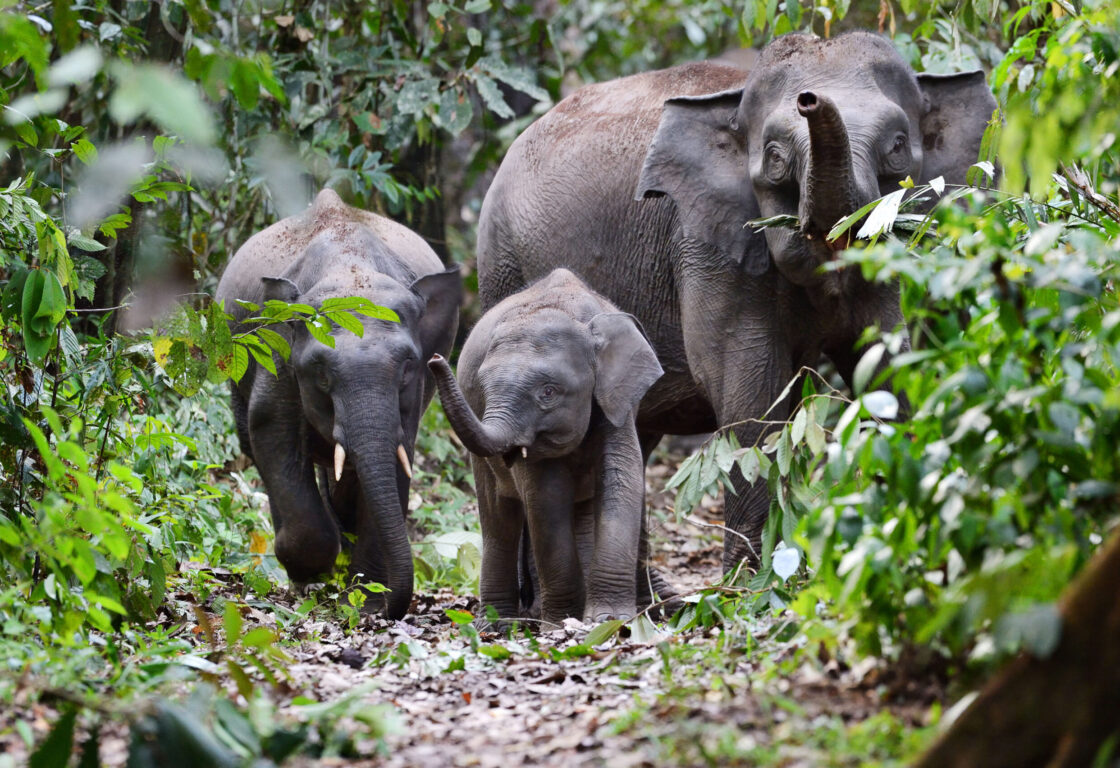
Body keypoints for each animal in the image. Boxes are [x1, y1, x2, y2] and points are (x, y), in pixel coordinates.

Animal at [215, 188, 461, 619]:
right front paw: (313, 577)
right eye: (321, 371)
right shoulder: (278, 352)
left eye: (408, 365)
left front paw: (365, 602)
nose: (391, 610)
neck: (350, 267)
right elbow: (270, 429)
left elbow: (397, 451)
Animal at [427, 269, 664, 625]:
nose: (435, 358)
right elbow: (546, 498)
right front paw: (561, 622)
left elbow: (622, 481)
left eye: (548, 392)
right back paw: (496, 624)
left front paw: (606, 620)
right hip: (480, 463)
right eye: (482, 387)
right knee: (499, 519)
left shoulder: (617, 404)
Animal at [476, 31, 997, 572]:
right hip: (503, 265)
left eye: (897, 148)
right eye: (775, 156)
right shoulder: (706, 242)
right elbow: (748, 389)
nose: (810, 99)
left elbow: (887, 366)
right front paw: (755, 583)